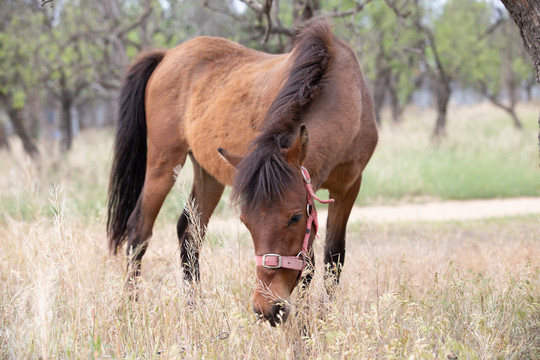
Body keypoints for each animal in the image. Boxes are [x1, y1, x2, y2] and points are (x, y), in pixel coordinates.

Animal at [107, 22, 378, 326]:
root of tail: (167, 55)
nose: (266, 308)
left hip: (208, 175)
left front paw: (322, 320)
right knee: (139, 230)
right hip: (162, 165)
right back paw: (130, 310)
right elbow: (308, 266)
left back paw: (194, 311)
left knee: (189, 233)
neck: (344, 96)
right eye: (245, 221)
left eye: (295, 217)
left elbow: (333, 258)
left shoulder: (348, 188)